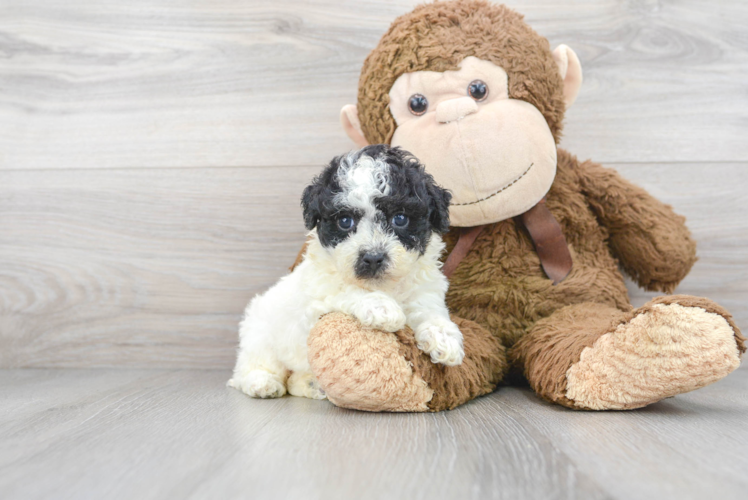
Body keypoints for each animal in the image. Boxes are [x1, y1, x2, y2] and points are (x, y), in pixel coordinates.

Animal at [226, 144, 462, 398]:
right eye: (345, 221)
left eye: (400, 218)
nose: (373, 258)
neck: (383, 285)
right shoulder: (319, 293)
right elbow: (345, 288)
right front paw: (382, 308)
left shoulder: (424, 292)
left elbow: (430, 312)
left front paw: (445, 339)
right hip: (259, 337)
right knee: (252, 368)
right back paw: (262, 383)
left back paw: (310, 384)